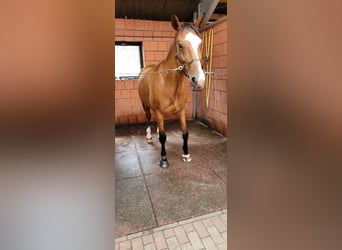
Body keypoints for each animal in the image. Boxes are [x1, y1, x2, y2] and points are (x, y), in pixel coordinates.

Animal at [138, 15, 204, 168]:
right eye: (180, 45)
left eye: (200, 43)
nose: (199, 81)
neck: (168, 83)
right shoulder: (159, 112)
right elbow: (163, 137)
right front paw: (163, 159)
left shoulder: (181, 111)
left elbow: (185, 133)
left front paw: (186, 154)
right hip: (146, 106)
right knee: (148, 117)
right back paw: (149, 136)